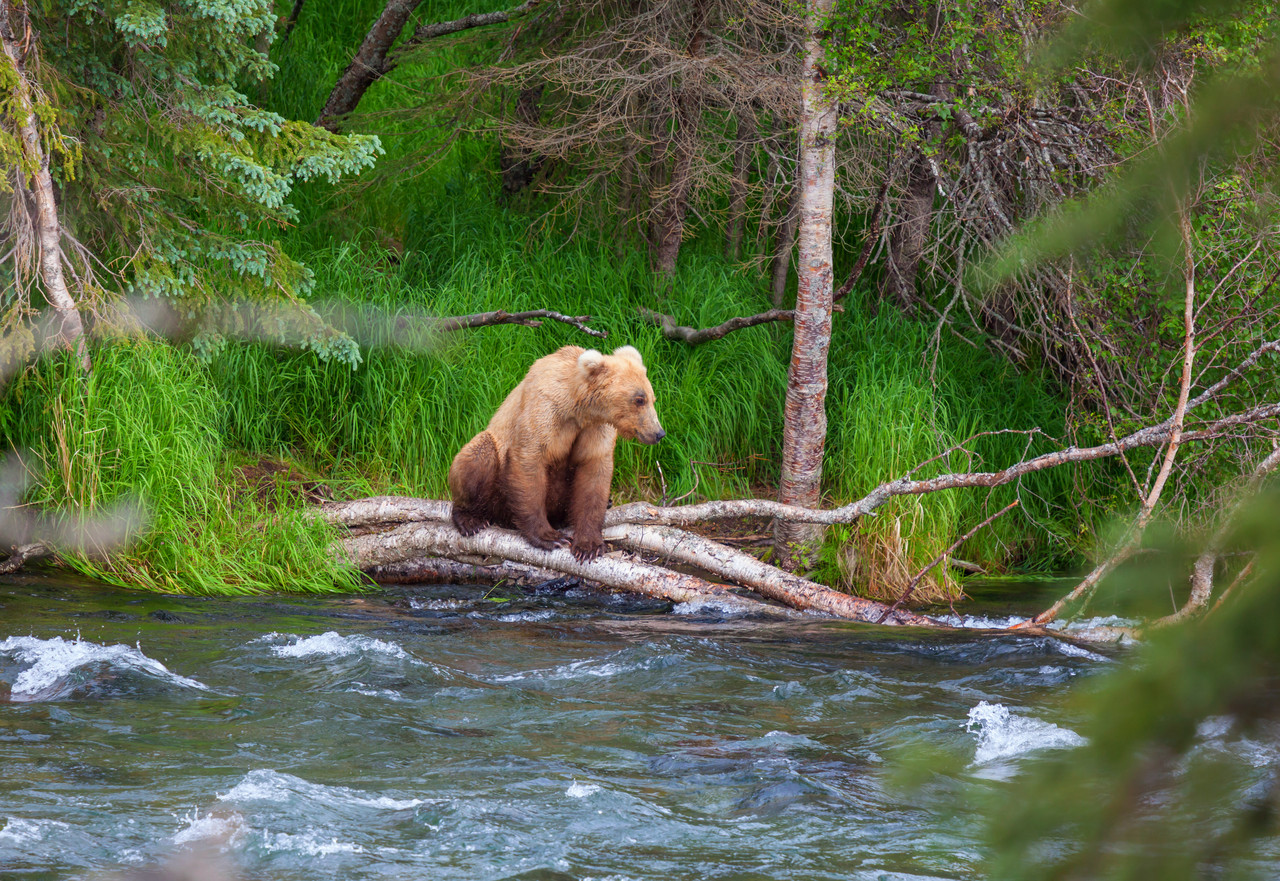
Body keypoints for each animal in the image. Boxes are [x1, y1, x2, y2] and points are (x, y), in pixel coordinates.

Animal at [448, 344, 665, 562]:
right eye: (639, 399)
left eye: (652, 398)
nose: (659, 433)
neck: (578, 409)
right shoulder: (544, 412)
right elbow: (529, 463)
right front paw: (550, 537)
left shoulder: (595, 429)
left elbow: (593, 476)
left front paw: (589, 545)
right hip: (496, 481)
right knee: (478, 454)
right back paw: (470, 520)